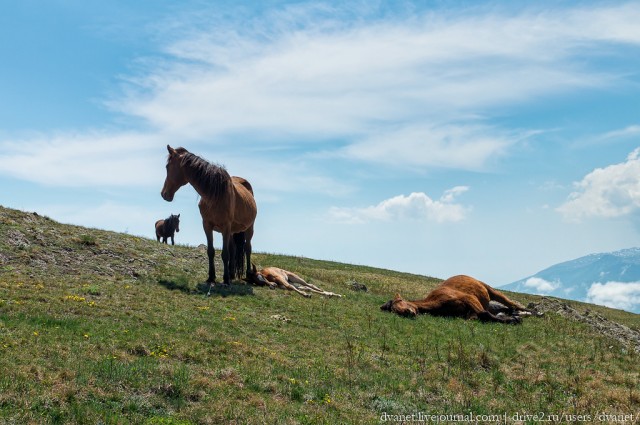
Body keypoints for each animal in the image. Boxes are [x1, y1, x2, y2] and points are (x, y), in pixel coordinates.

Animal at [161, 144, 256, 290]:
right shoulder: (207, 225)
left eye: (167, 167)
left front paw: (225, 280)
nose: (164, 194)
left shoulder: (225, 226)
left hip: (248, 228)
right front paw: (211, 278)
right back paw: (232, 275)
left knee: (247, 248)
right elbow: (211, 251)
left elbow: (225, 254)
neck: (215, 194)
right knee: (234, 249)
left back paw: (247, 275)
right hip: (232, 232)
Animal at [380, 274, 536, 322]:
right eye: (394, 310)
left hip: (490, 290)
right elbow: (478, 317)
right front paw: (511, 318)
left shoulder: (468, 298)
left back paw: (531, 312)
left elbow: (484, 314)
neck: (438, 303)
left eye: (400, 300)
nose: (408, 312)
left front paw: (514, 320)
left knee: (512, 304)